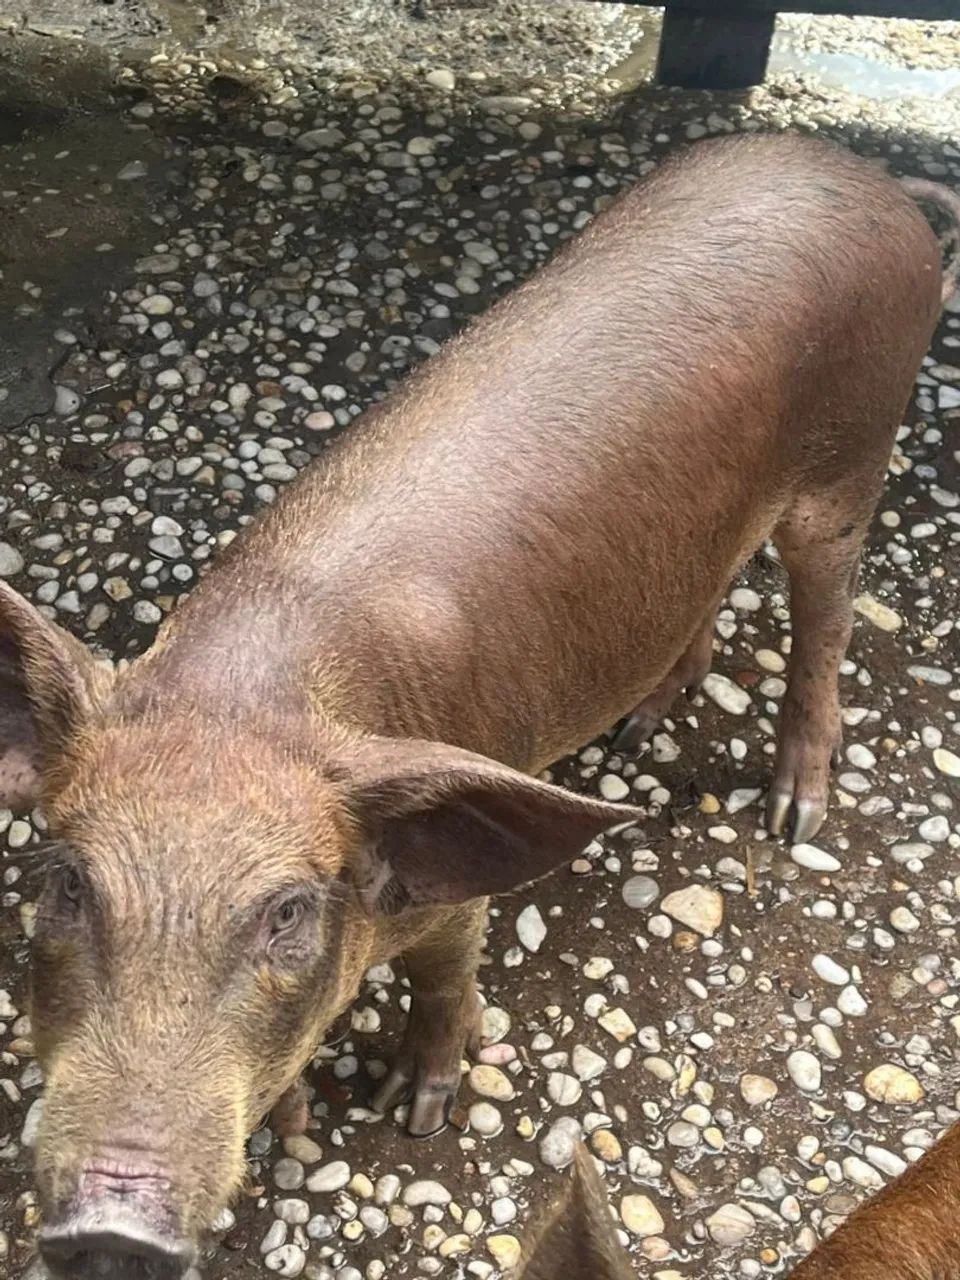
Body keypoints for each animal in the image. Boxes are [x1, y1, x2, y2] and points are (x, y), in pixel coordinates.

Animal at [0, 131, 956, 1277]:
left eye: (287, 911)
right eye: (63, 879)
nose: (109, 1227)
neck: (243, 693)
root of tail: (874, 182)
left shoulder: (456, 894)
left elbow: (449, 979)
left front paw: (415, 1111)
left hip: (853, 463)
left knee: (825, 624)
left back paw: (792, 814)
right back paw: (646, 720)